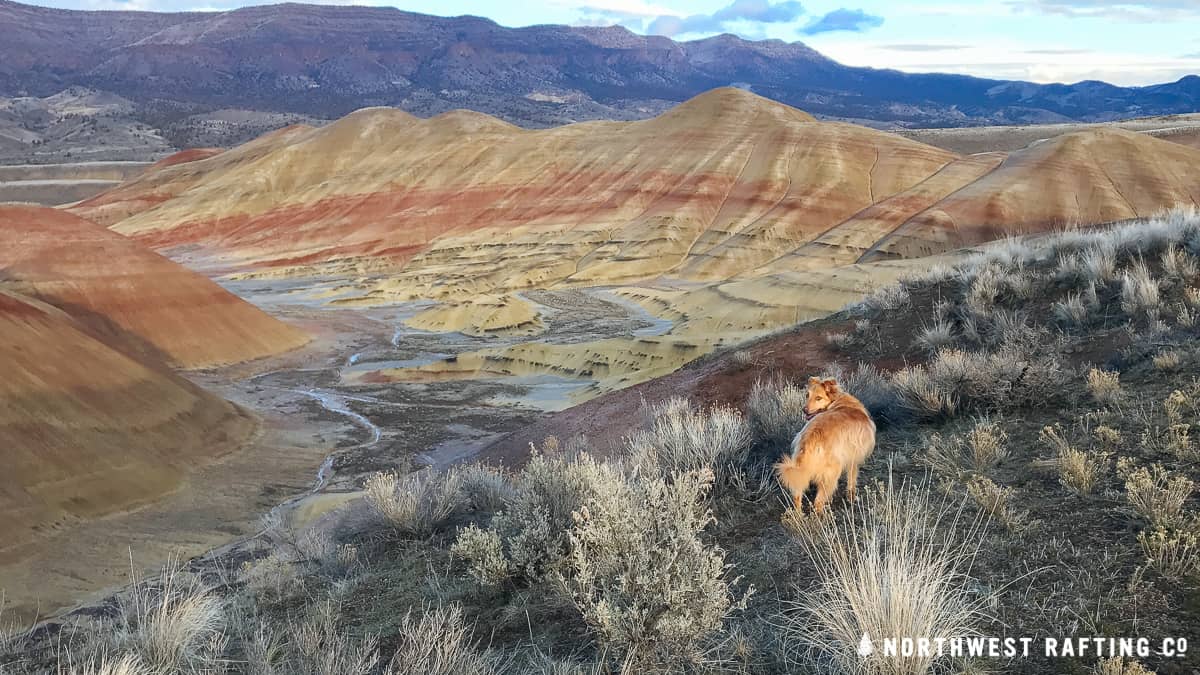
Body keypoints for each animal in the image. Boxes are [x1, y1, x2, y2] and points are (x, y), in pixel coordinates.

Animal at [772, 374, 878, 506]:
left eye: (818, 398)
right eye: (807, 395)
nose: (804, 410)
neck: (837, 402)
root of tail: (809, 440)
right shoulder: (854, 460)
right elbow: (851, 482)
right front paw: (852, 499)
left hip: (800, 472)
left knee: (797, 496)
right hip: (832, 473)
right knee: (818, 502)